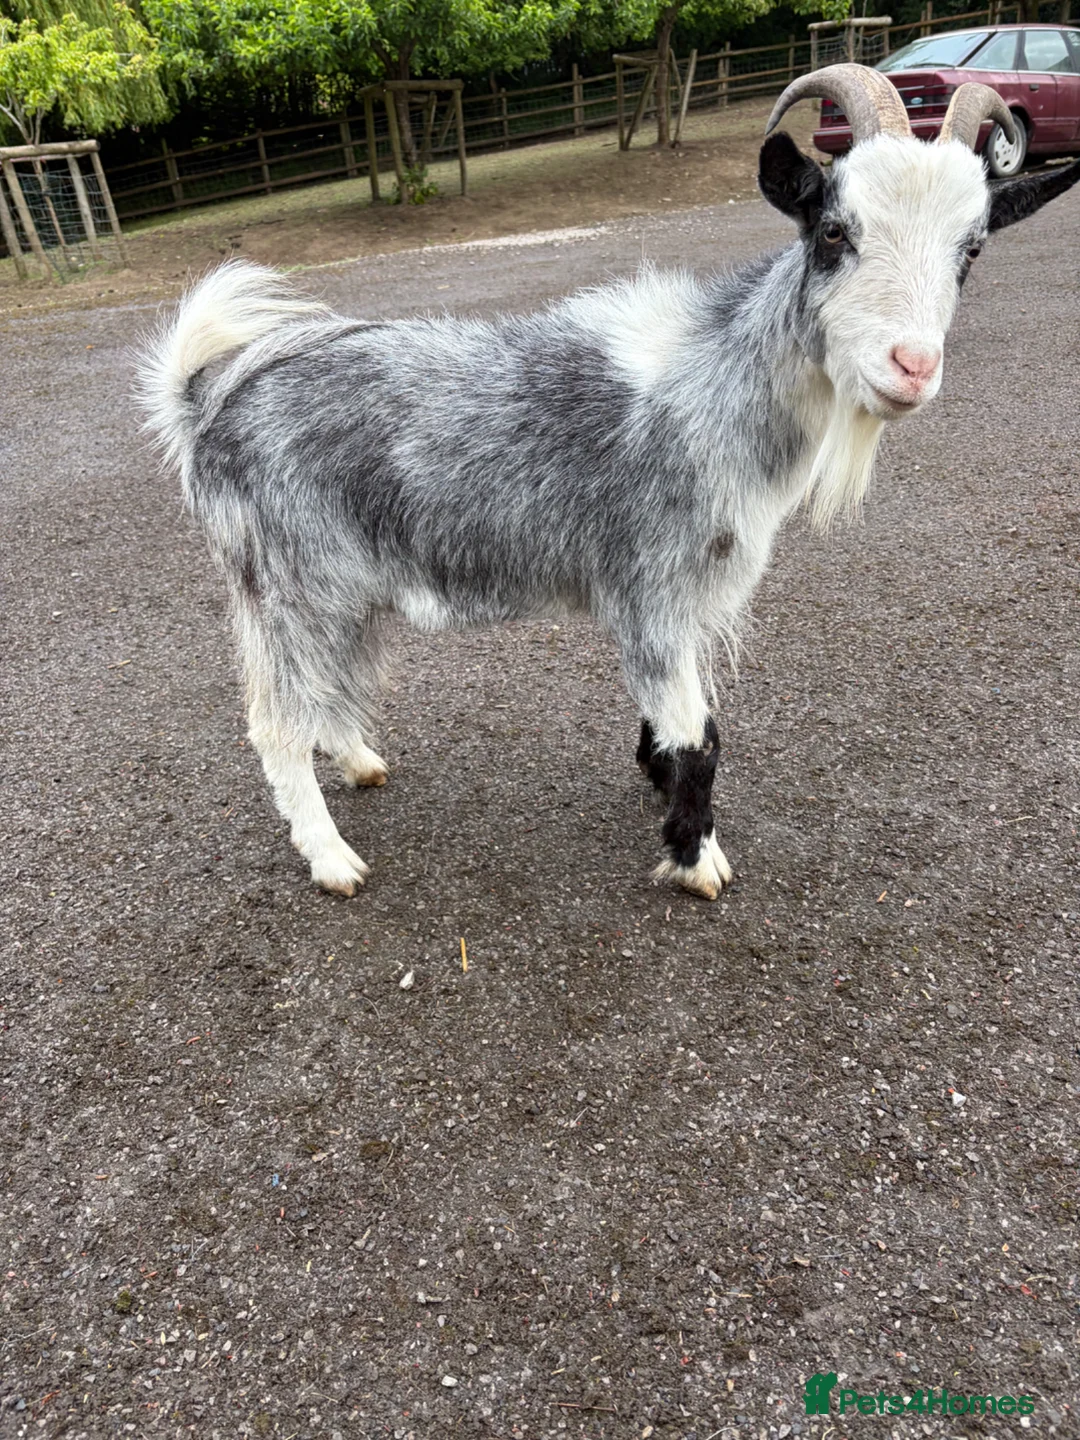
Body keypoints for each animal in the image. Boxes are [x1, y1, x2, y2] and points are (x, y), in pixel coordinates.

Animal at [139, 64, 1079, 900]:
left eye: (972, 248)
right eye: (833, 233)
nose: (911, 367)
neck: (715, 381)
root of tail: (203, 403)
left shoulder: (685, 593)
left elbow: (684, 721)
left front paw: (657, 783)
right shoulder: (653, 580)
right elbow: (700, 736)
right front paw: (697, 860)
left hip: (343, 590)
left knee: (327, 690)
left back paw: (360, 761)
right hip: (292, 582)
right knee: (274, 725)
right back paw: (332, 860)